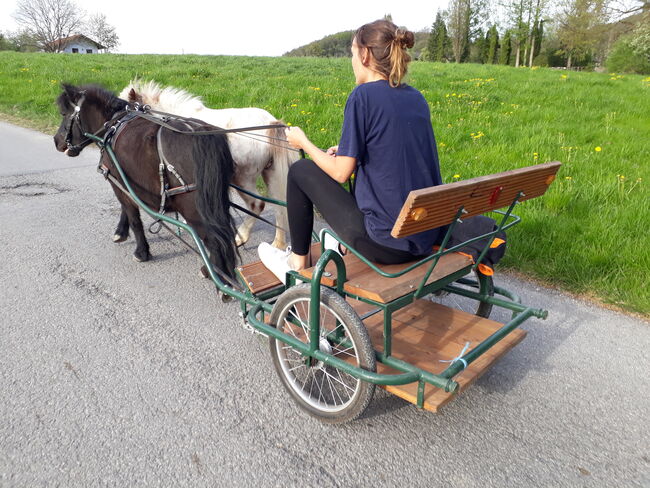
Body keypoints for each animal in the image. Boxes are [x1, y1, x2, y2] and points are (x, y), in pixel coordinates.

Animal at [117, 80, 294, 252]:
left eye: (126, 111)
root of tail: (271, 123)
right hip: (271, 173)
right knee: (280, 206)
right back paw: (277, 244)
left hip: (243, 178)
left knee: (257, 205)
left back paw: (241, 238)